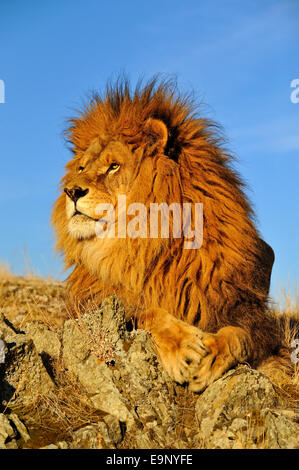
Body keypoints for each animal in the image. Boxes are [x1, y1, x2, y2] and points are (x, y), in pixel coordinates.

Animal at [52, 78, 292, 392]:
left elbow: (240, 335)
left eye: (113, 165)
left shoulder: (244, 308)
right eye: (82, 167)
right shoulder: (86, 305)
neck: (144, 244)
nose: (71, 191)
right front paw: (183, 348)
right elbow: (145, 313)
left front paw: (213, 355)